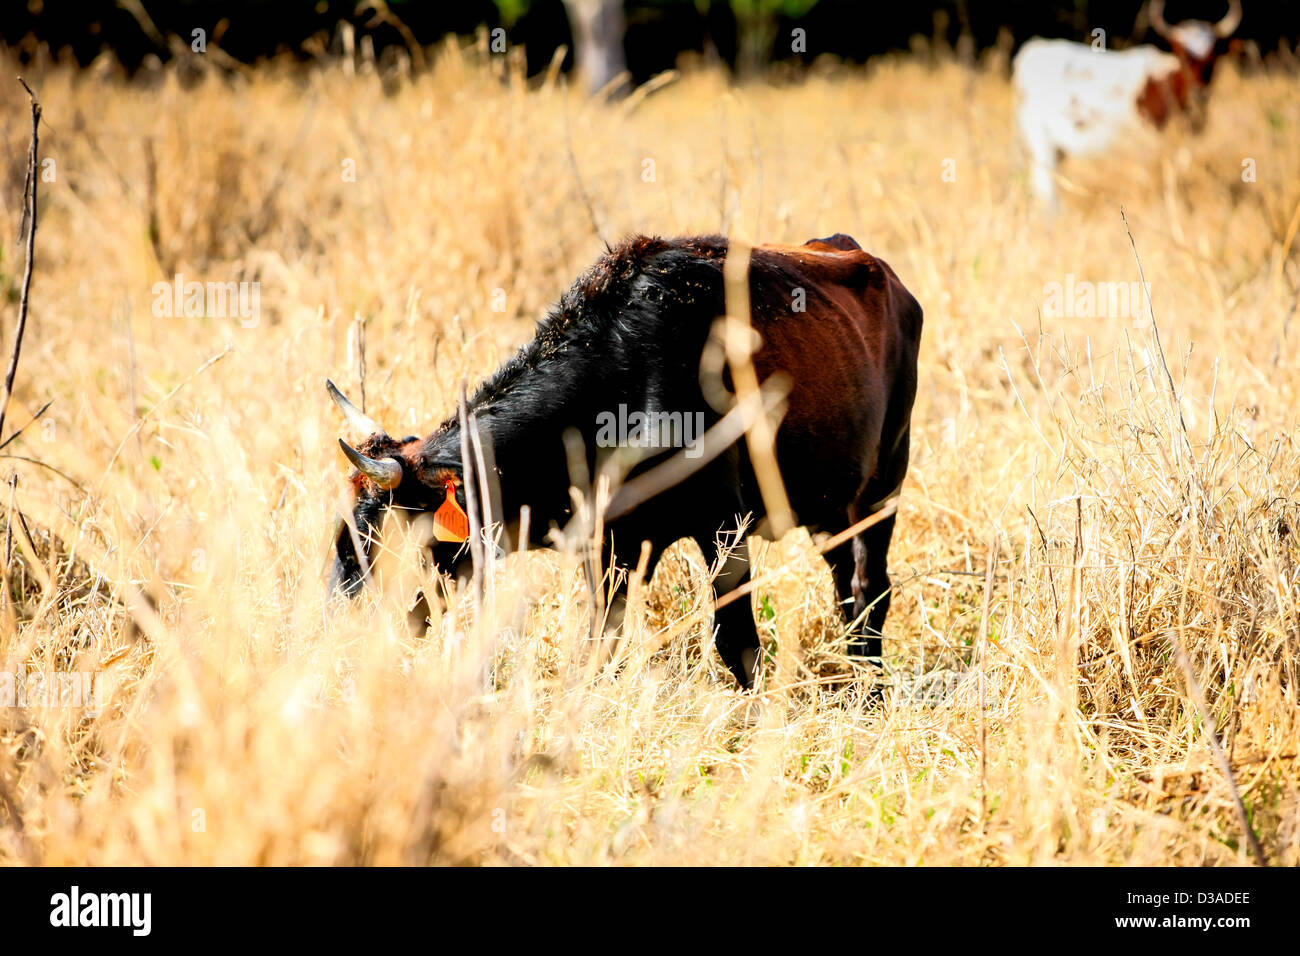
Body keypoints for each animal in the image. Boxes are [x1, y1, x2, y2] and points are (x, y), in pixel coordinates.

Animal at [330, 235, 930, 691]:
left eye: (384, 538)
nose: (337, 626)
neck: (625, 382)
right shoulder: (608, 545)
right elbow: (599, 641)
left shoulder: (724, 528)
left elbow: (736, 640)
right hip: (830, 509)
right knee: (847, 587)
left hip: (882, 489)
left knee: (870, 587)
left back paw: (872, 691)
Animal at [1008, 0, 1242, 213]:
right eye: (1182, 54)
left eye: (1213, 56)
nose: (1200, 92)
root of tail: (1033, 49)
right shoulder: (1147, 144)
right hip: (1040, 138)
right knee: (1045, 185)